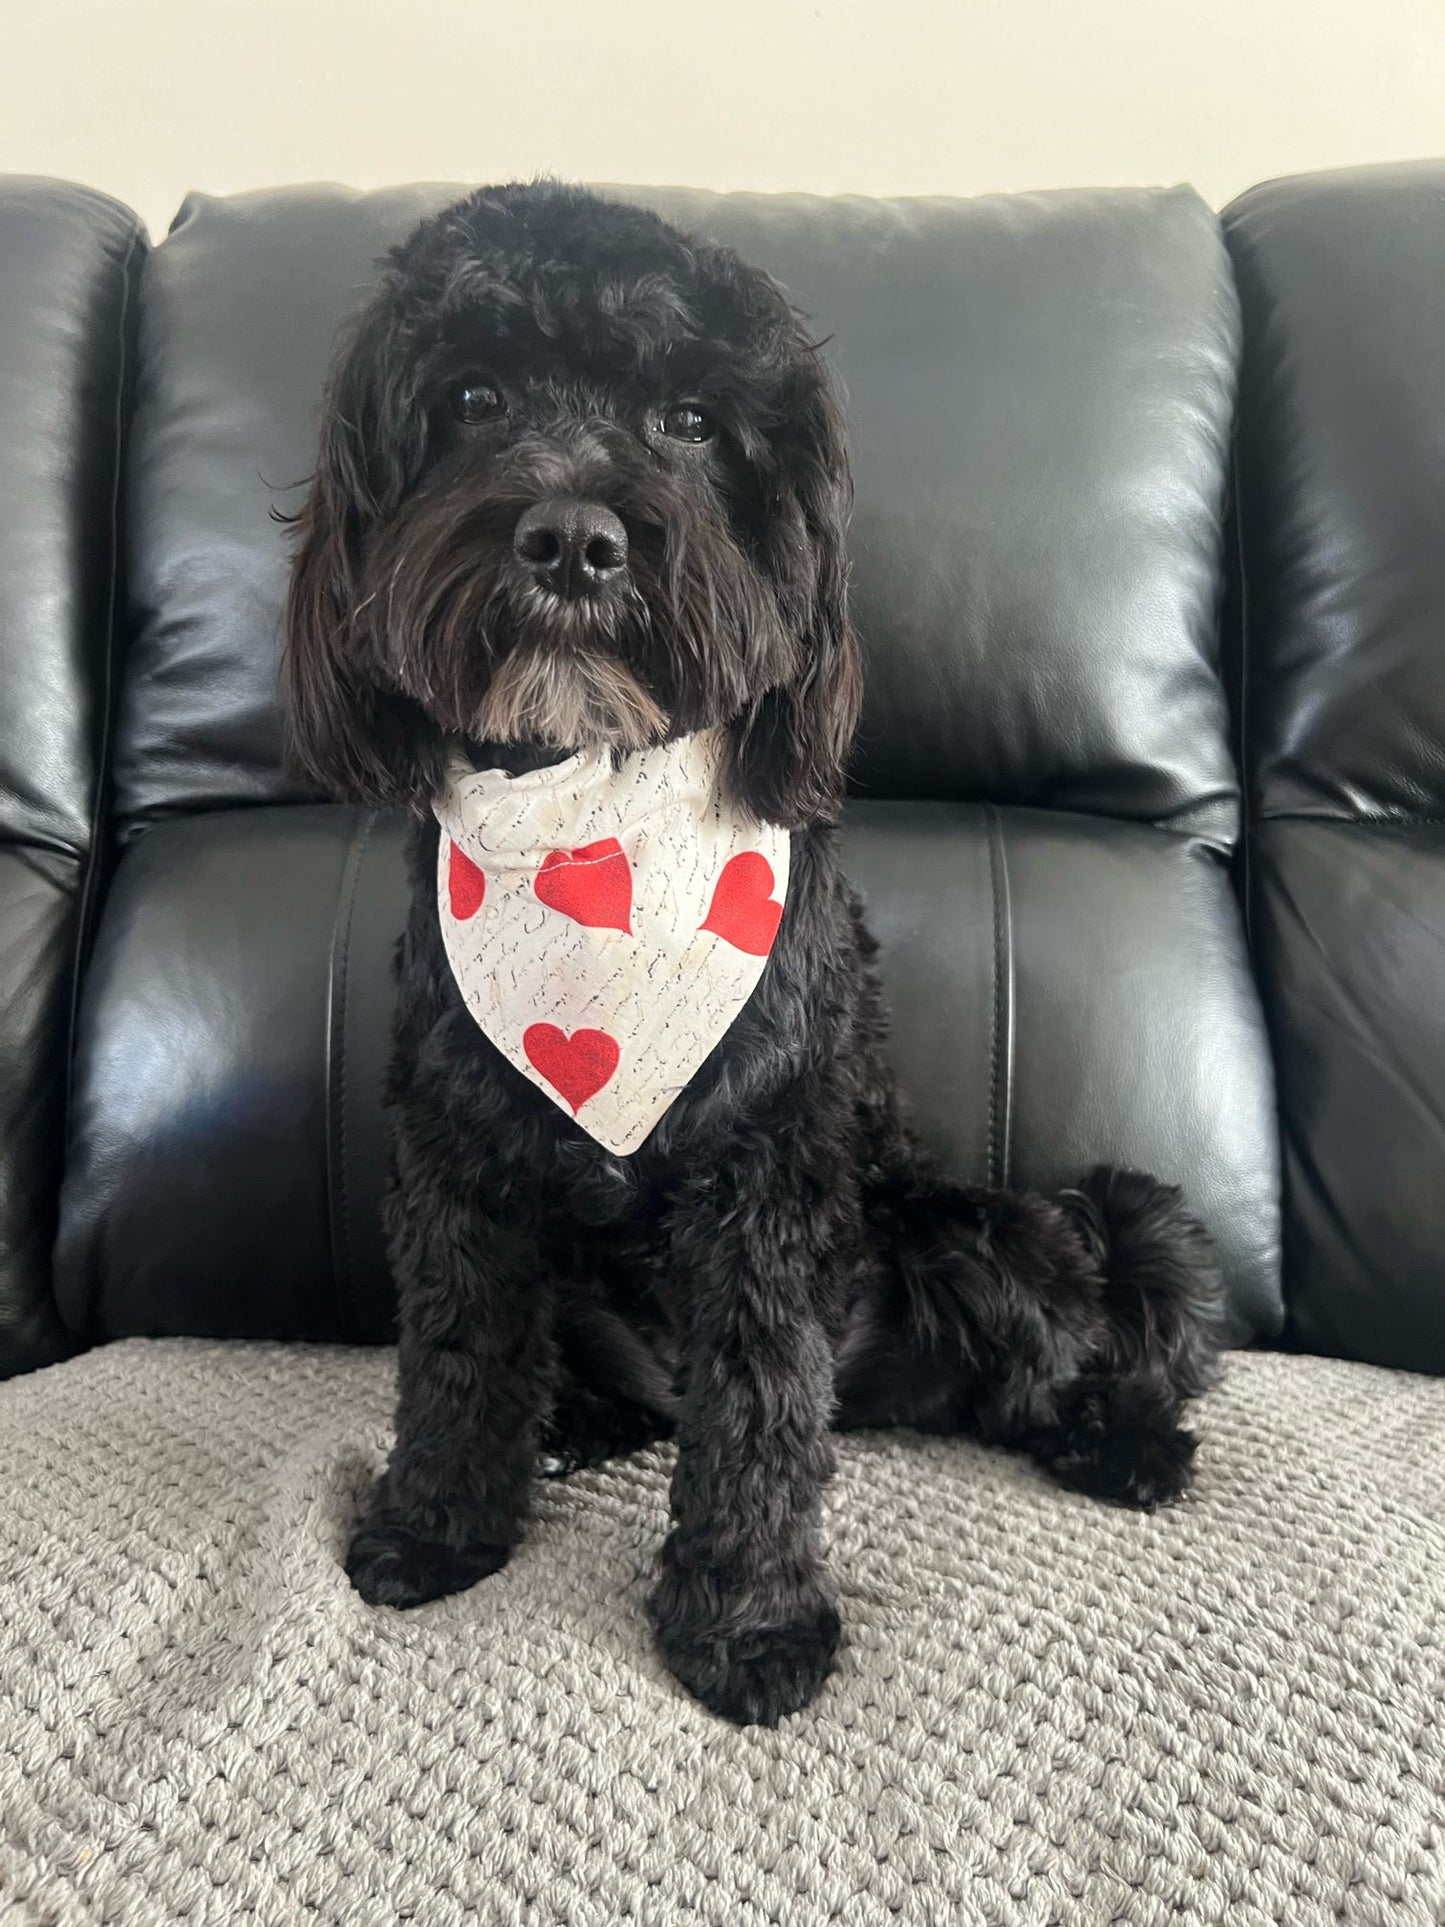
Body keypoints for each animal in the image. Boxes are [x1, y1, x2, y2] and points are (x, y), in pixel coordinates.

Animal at [279, 184, 1225, 1734]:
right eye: (472, 398)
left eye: (691, 421)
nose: (573, 537)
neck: (593, 819)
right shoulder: (457, 1158)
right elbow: (460, 1349)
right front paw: (434, 1524)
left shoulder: (766, 1175)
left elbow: (762, 1409)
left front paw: (749, 1624)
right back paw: (576, 1424)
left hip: (969, 1233)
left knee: (1054, 1352)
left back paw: (1124, 1438)